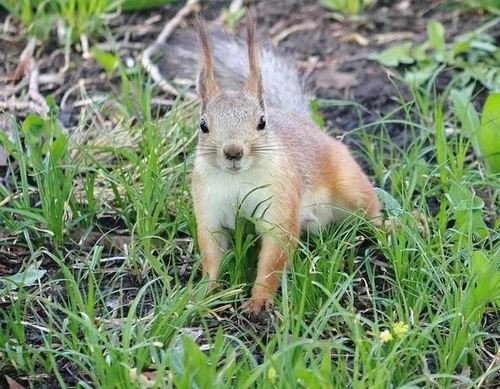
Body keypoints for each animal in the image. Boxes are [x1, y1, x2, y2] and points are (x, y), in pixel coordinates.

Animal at [162, 15, 380, 312]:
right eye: (203, 125)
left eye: (262, 122)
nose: (233, 152)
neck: (237, 179)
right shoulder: (208, 206)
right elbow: (212, 253)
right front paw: (203, 293)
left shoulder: (279, 203)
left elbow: (272, 259)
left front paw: (259, 300)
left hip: (350, 185)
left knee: (372, 212)